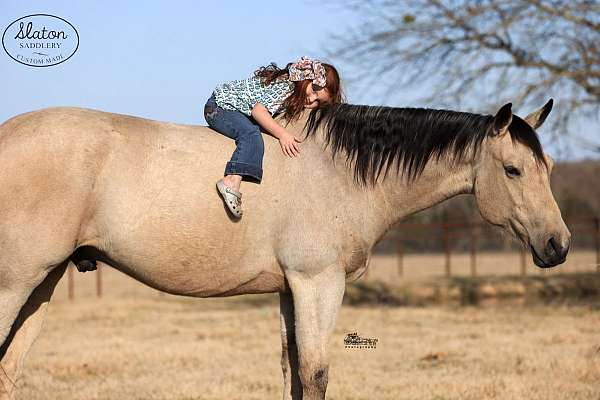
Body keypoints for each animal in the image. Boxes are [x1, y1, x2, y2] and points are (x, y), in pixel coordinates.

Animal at [0, 97, 568, 400]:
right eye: (513, 170)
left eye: (549, 167)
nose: (557, 245)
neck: (338, 171)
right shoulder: (318, 283)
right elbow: (315, 372)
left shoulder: (290, 291)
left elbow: (294, 371)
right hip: (16, 282)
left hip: (44, 282)